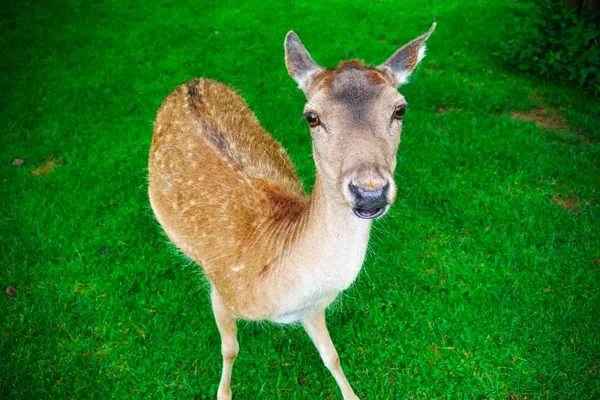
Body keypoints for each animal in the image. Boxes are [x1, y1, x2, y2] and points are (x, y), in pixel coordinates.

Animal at [146, 23, 436, 398]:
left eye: (400, 109)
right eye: (311, 116)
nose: (369, 192)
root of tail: (191, 81)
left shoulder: (313, 307)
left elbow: (332, 356)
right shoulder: (221, 290)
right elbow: (230, 348)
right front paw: (222, 393)